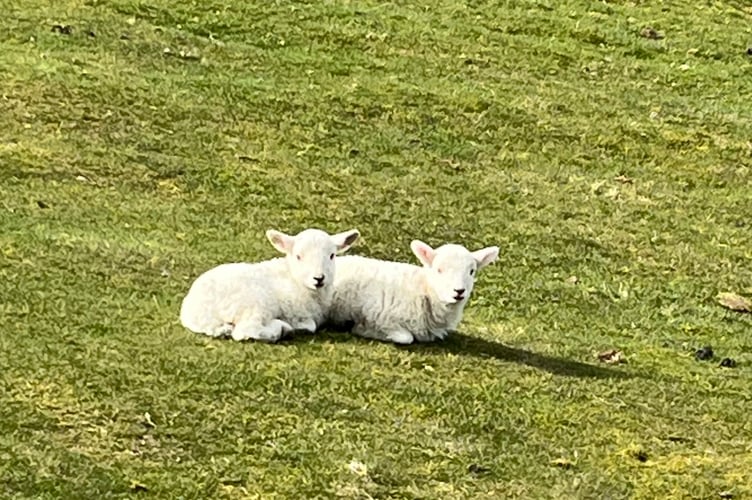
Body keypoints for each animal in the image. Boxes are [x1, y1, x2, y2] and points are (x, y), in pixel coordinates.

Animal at [179, 228, 360, 342]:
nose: (319, 278)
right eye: (298, 256)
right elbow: (310, 325)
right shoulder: (293, 309)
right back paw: (281, 329)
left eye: (332, 255)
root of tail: (198, 311)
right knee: (246, 331)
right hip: (254, 303)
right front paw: (299, 326)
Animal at [327, 240, 499, 345]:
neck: (424, 289)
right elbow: (405, 337)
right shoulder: (379, 314)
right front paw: (365, 330)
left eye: (471, 271)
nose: (459, 291)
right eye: (439, 270)